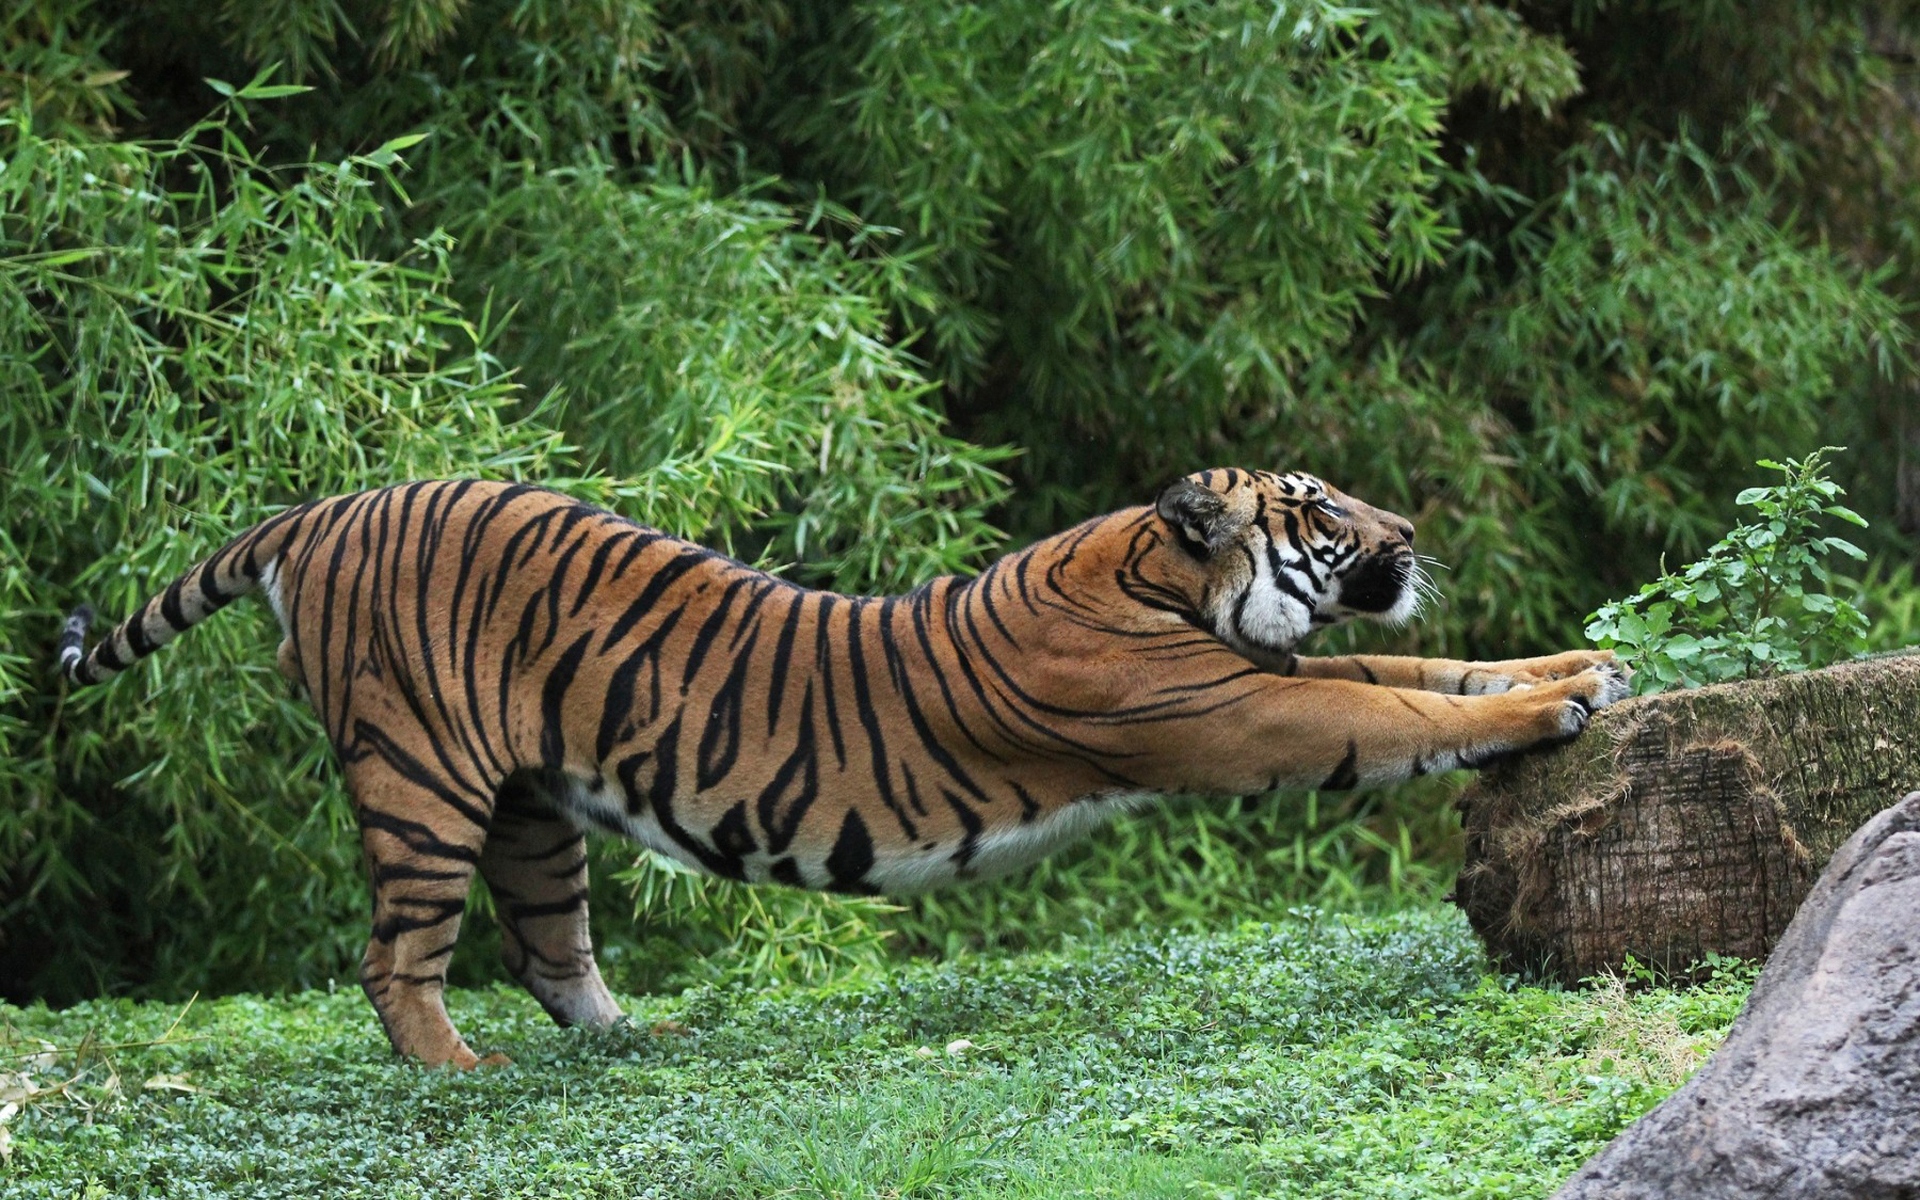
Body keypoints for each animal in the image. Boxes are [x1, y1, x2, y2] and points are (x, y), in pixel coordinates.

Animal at [57, 469, 1628, 1068]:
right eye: (1319, 509)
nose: (1411, 531)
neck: (1156, 579)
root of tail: (320, 507)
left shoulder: (1269, 675)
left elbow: (1430, 674)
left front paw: (1581, 664)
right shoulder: (1241, 712)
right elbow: (1398, 715)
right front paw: (1558, 704)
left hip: (531, 808)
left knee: (550, 948)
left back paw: (634, 1040)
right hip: (423, 781)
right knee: (396, 958)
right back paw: (457, 1068)